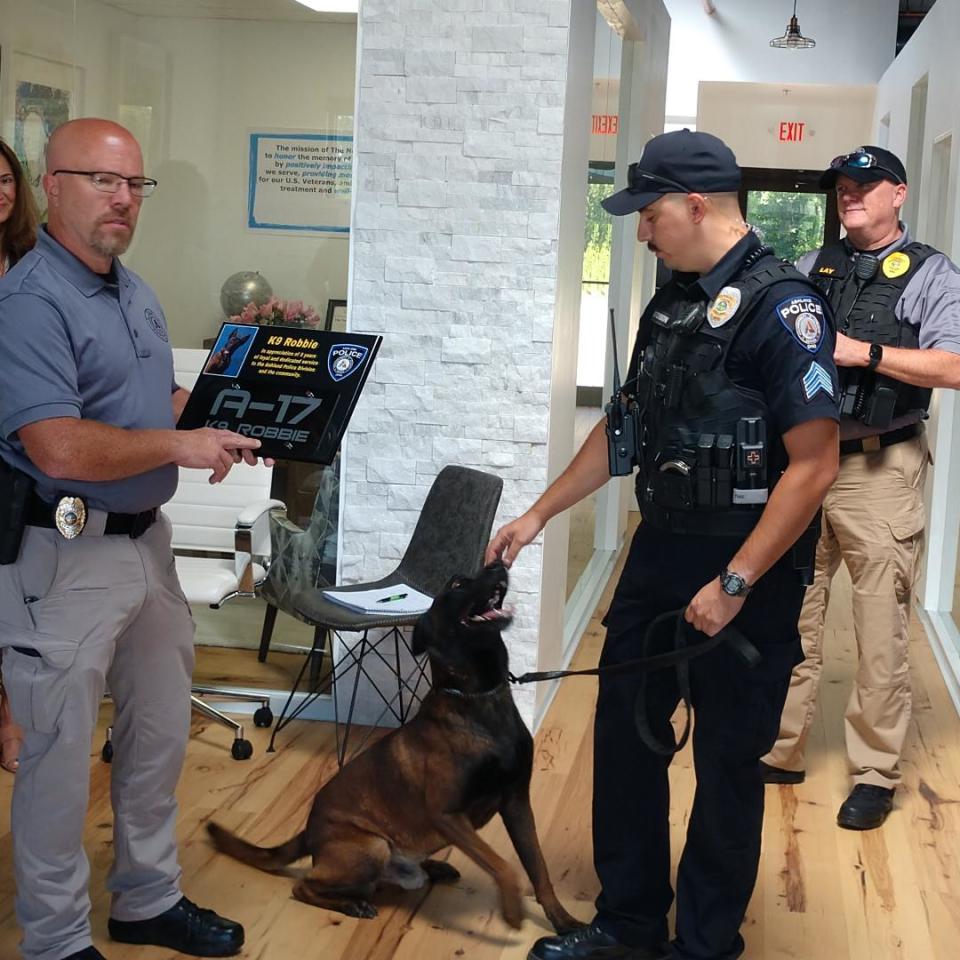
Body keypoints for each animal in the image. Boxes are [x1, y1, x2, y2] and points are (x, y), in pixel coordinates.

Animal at [209, 560, 580, 932]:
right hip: (373, 847)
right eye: (457, 583)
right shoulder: (446, 813)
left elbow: (538, 868)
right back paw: (352, 904)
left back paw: (431, 869)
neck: (476, 697)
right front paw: (513, 906)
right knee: (304, 886)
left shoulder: (516, 803)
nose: (499, 563)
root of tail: (309, 832)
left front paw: (562, 920)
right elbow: (502, 864)